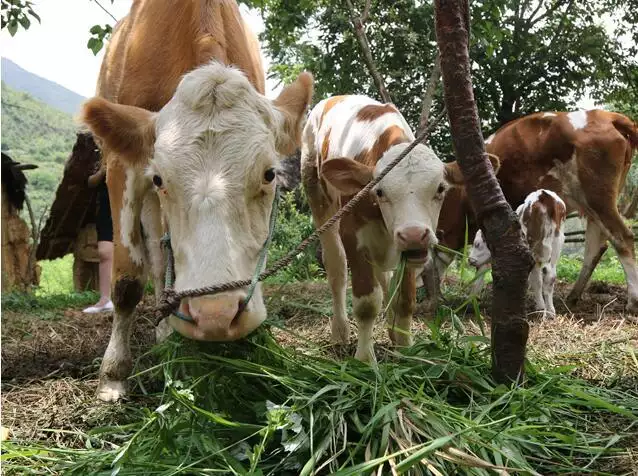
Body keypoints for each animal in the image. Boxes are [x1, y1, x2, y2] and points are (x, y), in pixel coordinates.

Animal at [80, 0, 316, 402]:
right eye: (160, 178)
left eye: (269, 174)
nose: (215, 315)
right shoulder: (123, 166)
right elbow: (126, 280)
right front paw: (113, 375)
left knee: (160, 259)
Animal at [300, 96, 500, 364]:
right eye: (379, 191)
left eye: (440, 188)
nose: (414, 234)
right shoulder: (354, 236)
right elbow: (367, 303)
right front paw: (364, 359)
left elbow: (405, 300)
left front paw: (406, 351)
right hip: (319, 198)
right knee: (337, 268)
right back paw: (340, 332)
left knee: (385, 279)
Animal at [424, 109, 638, 314]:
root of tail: (608, 117)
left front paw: (472, 299)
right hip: (592, 204)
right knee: (596, 247)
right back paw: (572, 296)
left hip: (598, 198)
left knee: (623, 238)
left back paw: (632, 301)